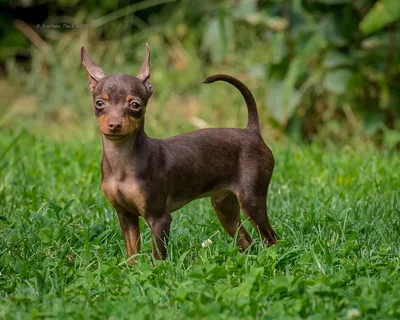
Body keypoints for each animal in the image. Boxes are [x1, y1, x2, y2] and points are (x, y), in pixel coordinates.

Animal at [81, 43, 278, 264]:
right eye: (99, 103)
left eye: (135, 105)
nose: (114, 125)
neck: (122, 161)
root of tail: (251, 131)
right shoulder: (126, 217)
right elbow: (133, 255)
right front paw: (133, 270)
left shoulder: (159, 218)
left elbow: (158, 257)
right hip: (224, 208)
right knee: (247, 241)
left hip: (251, 201)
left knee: (271, 239)